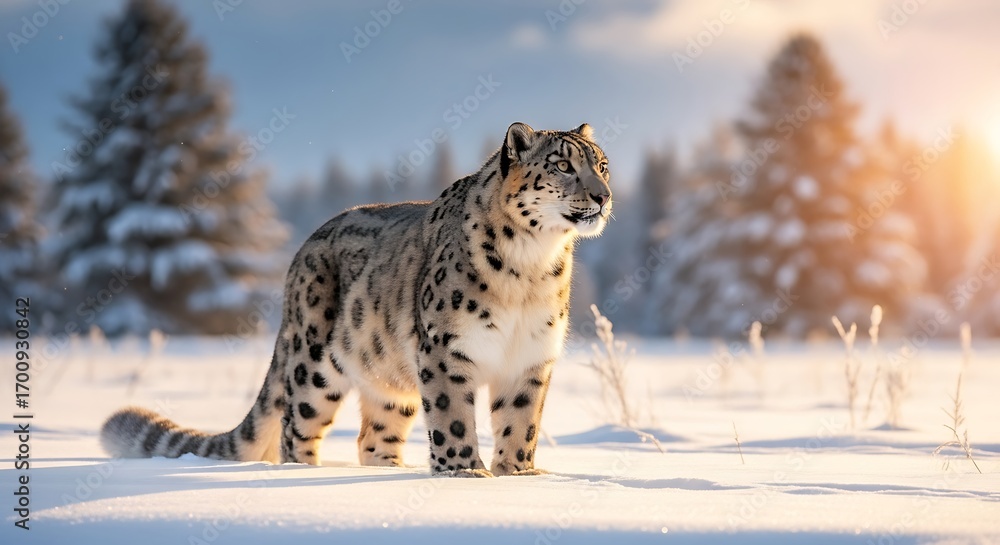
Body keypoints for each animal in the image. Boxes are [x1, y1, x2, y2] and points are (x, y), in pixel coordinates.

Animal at [100, 122, 613, 477]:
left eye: (602, 165)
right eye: (563, 166)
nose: (604, 196)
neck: (531, 267)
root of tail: (301, 253)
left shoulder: (531, 356)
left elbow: (520, 421)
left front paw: (519, 473)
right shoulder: (446, 349)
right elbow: (452, 417)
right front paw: (465, 471)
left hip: (391, 383)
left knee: (373, 436)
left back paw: (391, 470)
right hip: (313, 365)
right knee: (295, 429)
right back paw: (304, 474)